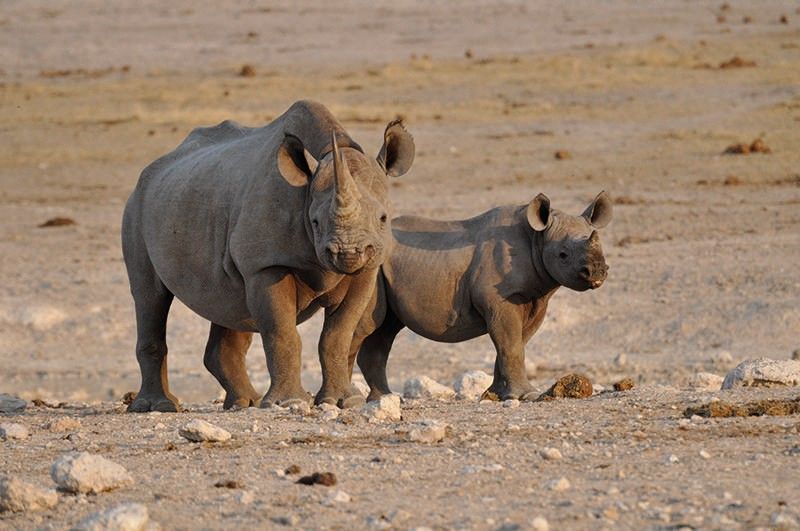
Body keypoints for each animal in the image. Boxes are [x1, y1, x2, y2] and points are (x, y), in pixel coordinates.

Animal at [122, 100, 414, 412]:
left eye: (383, 218)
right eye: (314, 222)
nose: (348, 253)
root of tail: (149, 172)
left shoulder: (367, 270)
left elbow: (338, 335)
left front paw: (343, 401)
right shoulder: (266, 265)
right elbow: (282, 333)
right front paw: (287, 402)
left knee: (228, 303)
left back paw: (244, 402)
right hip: (136, 208)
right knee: (150, 295)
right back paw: (157, 407)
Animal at [352, 192, 613, 401]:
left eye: (601, 247)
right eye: (562, 255)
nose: (597, 272)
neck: (536, 239)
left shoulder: (536, 300)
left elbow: (514, 344)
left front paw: (494, 395)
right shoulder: (500, 299)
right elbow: (510, 344)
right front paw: (528, 395)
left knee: (384, 330)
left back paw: (383, 398)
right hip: (370, 266)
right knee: (364, 326)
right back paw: (355, 400)